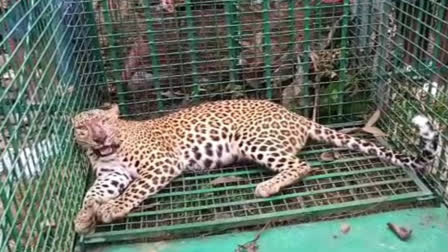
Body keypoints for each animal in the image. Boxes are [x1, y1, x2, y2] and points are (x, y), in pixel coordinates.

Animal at [72, 98, 440, 232]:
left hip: (252, 140)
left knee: (302, 165)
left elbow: (133, 190)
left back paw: (267, 186)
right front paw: (83, 217)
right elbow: (91, 194)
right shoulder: (110, 175)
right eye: (83, 128)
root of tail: (294, 115)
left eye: (106, 122)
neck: (106, 154)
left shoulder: (161, 163)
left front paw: (110, 210)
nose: (100, 137)